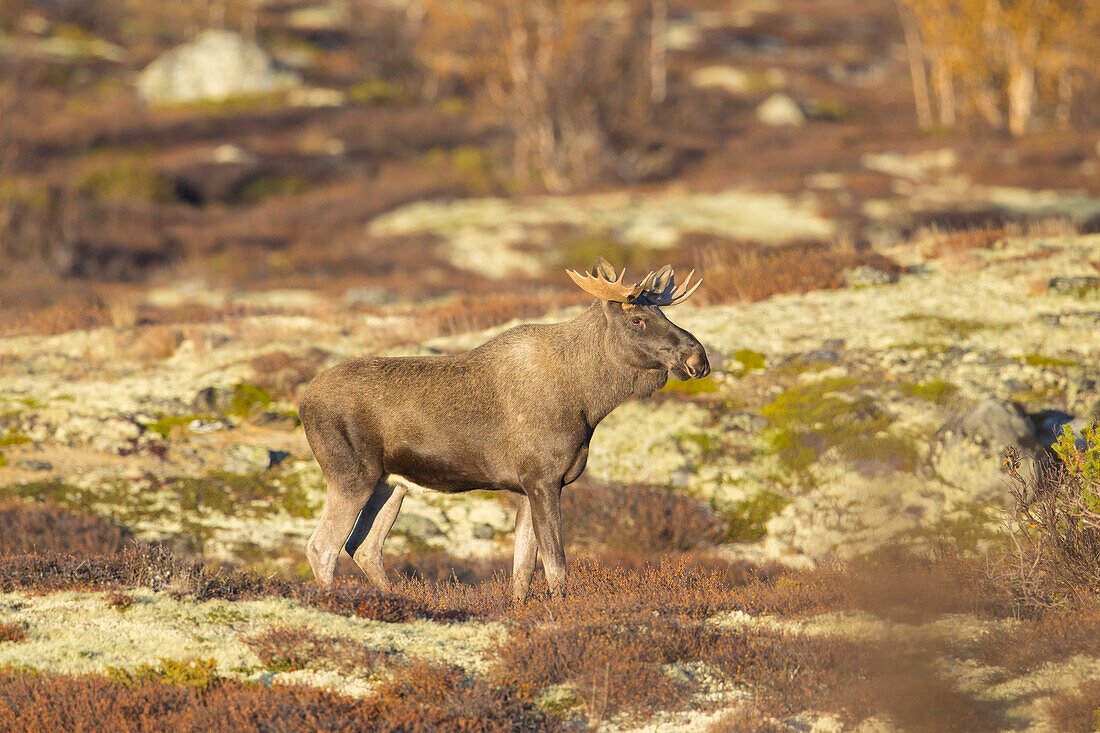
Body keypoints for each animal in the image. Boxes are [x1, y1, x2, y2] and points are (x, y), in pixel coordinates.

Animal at [301, 256, 708, 598]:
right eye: (636, 319)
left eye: (662, 312)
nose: (697, 358)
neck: (588, 402)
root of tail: (303, 403)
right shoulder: (542, 478)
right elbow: (556, 568)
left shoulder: (529, 486)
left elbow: (522, 570)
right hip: (351, 474)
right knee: (323, 547)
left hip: (391, 483)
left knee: (364, 547)